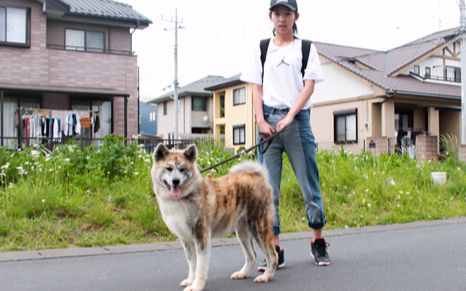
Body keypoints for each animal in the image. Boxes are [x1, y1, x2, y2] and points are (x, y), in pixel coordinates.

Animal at [151, 144, 278, 291]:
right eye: (169, 168)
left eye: (182, 169)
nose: (175, 181)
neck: (183, 197)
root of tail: (258, 175)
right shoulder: (186, 240)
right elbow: (192, 264)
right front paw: (190, 281)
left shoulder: (201, 237)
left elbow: (200, 267)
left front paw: (196, 286)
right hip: (242, 232)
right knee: (252, 256)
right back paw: (242, 274)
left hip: (259, 228)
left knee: (273, 255)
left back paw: (266, 276)